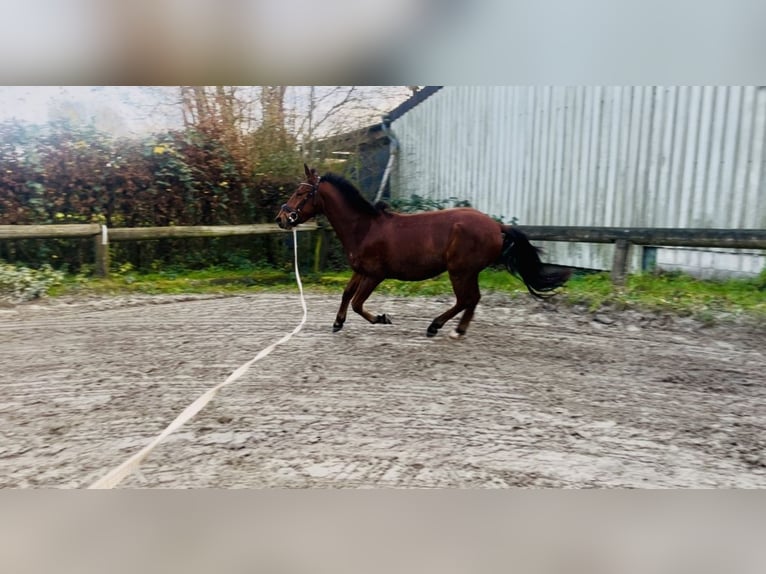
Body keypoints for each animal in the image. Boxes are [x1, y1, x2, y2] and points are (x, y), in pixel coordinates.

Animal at [275, 164, 571, 339]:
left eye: (300, 193)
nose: (281, 218)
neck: (364, 227)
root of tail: (496, 226)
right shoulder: (361, 271)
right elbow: (347, 294)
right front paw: (338, 323)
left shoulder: (375, 275)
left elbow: (359, 303)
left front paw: (382, 318)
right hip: (467, 272)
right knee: (472, 299)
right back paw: (456, 329)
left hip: (460, 271)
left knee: (466, 299)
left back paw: (438, 327)